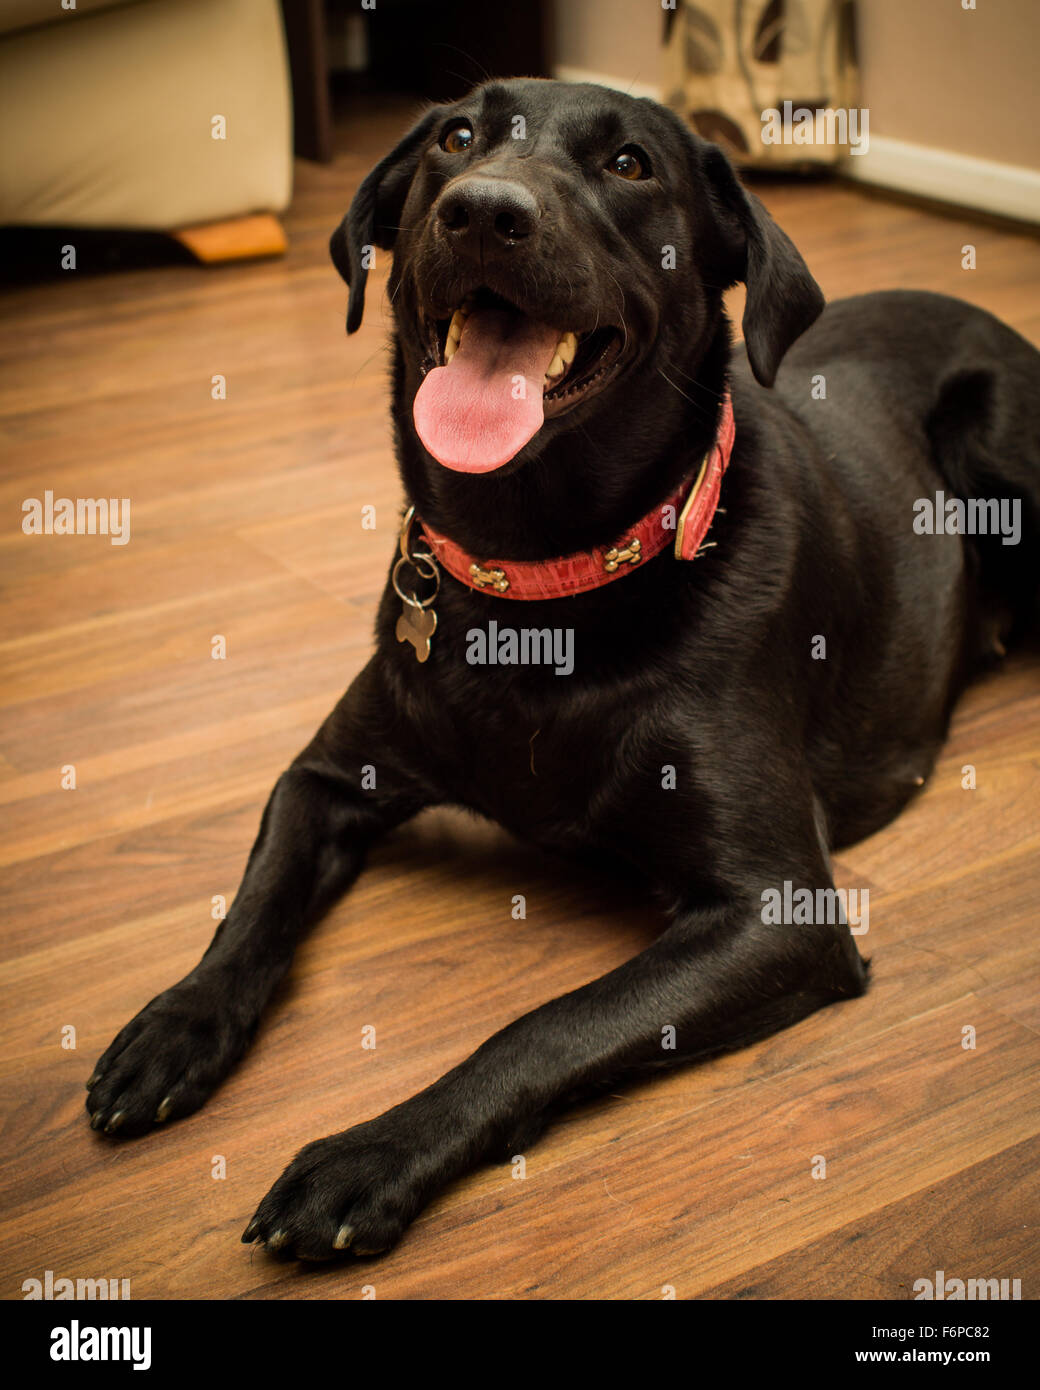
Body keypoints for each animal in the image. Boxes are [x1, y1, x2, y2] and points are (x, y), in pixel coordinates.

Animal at [87, 81, 1040, 1267]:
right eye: (455, 138)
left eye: (630, 163)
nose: (484, 212)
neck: (537, 578)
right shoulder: (324, 775)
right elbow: (250, 909)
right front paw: (173, 1025)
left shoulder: (778, 911)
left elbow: (545, 1023)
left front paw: (369, 1155)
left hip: (998, 436)